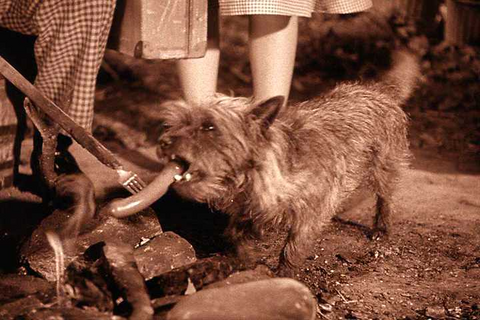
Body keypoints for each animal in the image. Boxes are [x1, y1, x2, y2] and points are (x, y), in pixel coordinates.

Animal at [156, 50, 418, 276]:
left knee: (385, 199)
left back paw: (381, 229)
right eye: (177, 123)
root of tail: (380, 91)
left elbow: (293, 246)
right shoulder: (247, 211)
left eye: (209, 127)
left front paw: (284, 273)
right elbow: (236, 234)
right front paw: (244, 256)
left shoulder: (309, 213)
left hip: (385, 169)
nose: (164, 142)